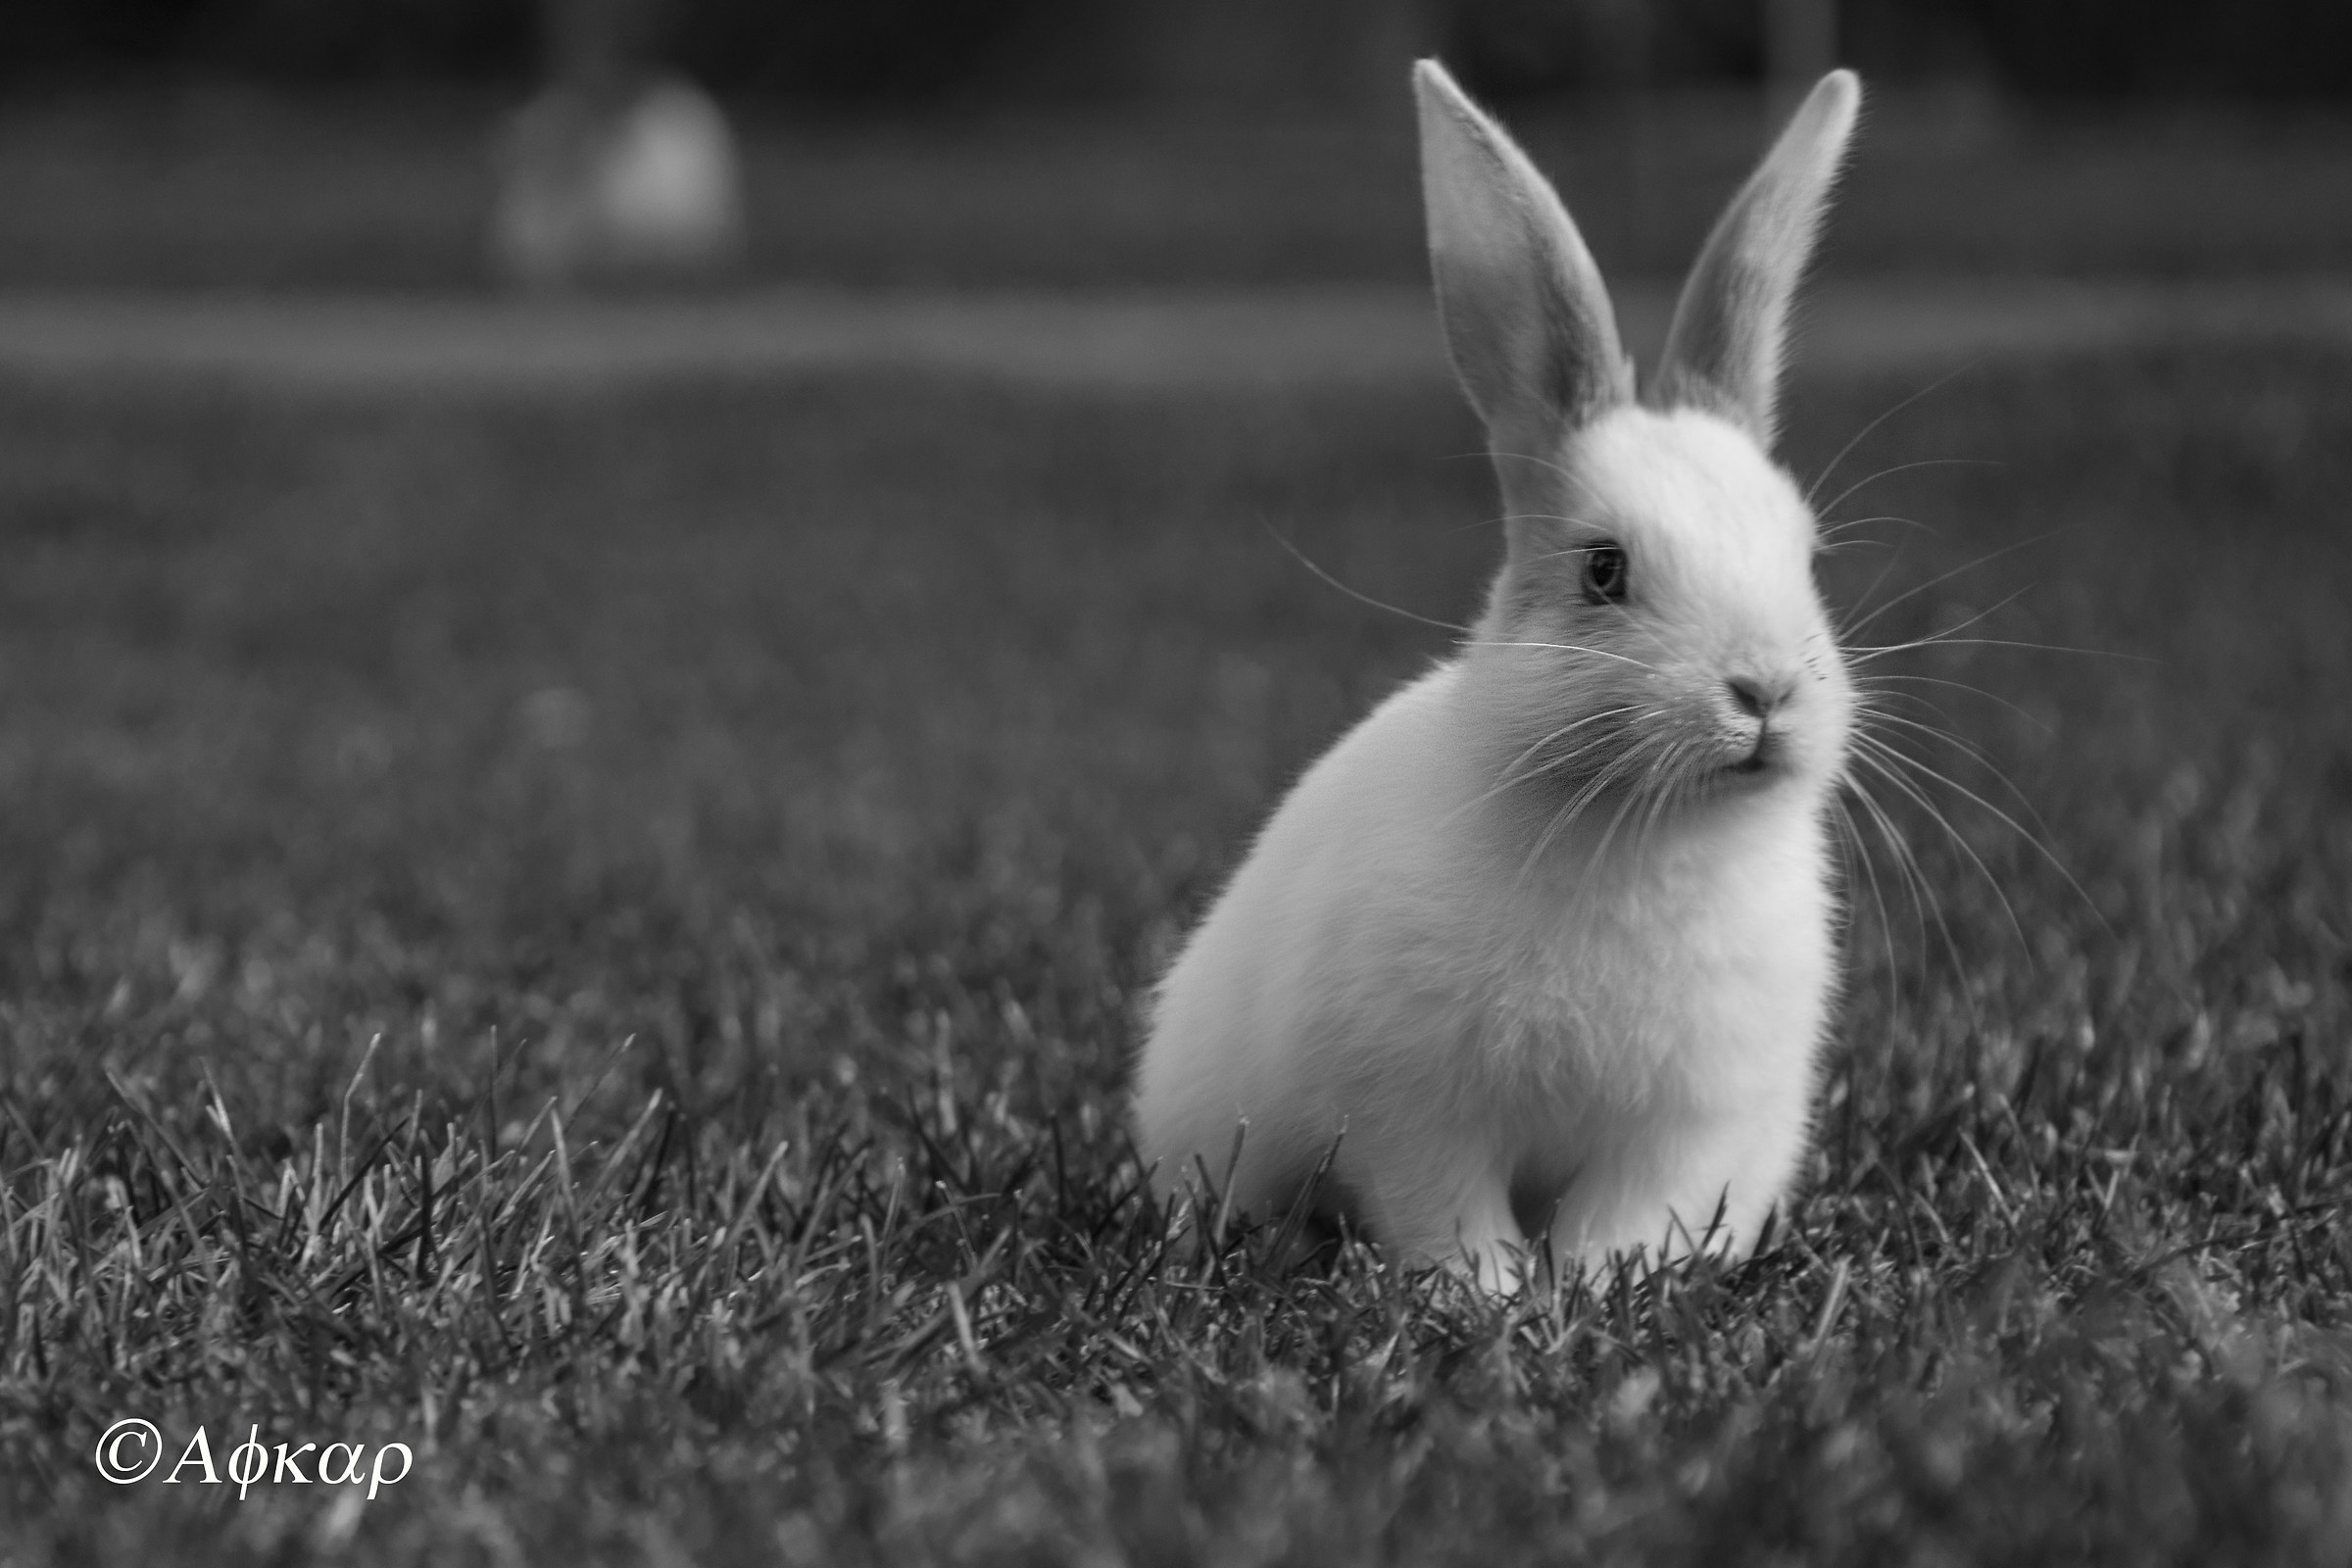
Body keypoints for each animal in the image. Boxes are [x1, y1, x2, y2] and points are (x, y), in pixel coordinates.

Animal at [1132, 59, 1863, 1292]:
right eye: (1603, 569)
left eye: (1806, 558)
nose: (1765, 690)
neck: (1641, 829)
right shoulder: (1413, 1111)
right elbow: (1445, 1214)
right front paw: (1491, 1299)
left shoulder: (1682, 1130)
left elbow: (1627, 1218)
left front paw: (1596, 1289)